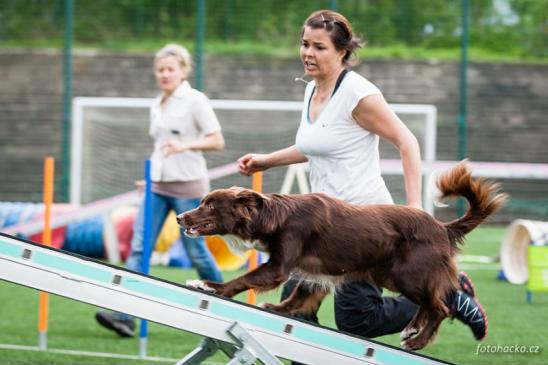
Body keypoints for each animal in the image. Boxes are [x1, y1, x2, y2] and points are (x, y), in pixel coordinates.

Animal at [178, 161, 508, 348]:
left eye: (209, 204)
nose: (180, 217)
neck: (276, 215)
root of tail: (442, 227)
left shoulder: (280, 264)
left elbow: (244, 279)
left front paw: (209, 286)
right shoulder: (314, 269)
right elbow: (300, 295)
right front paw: (279, 309)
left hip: (407, 273)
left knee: (441, 305)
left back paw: (419, 340)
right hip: (388, 273)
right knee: (431, 302)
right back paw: (413, 328)